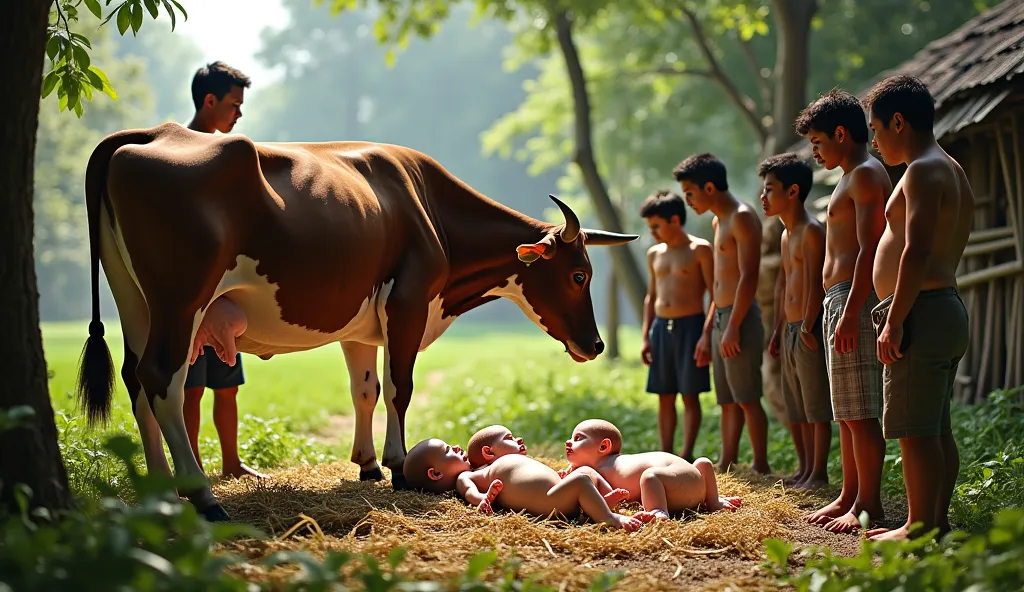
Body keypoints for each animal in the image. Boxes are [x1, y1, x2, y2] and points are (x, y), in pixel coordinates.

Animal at [77, 121, 638, 518]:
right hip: (181, 299)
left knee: (135, 377)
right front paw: (399, 466)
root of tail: (157, 132)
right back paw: (202, 497)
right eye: (579, 275)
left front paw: (367, 463)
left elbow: (365, 388)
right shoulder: (408, 303)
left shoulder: (361, 324)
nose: (595, 344)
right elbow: (399, 388)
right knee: (163, 379)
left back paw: (159, 490)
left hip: (134, 299)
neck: (428, 207)